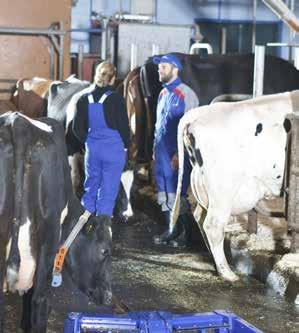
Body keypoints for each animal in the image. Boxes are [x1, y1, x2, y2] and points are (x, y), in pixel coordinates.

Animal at [170, 90, 298, 280]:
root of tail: (198, 113)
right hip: (223, 188)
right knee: (213, 225)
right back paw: (227, 273)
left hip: (204, 186)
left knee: (200, 216)